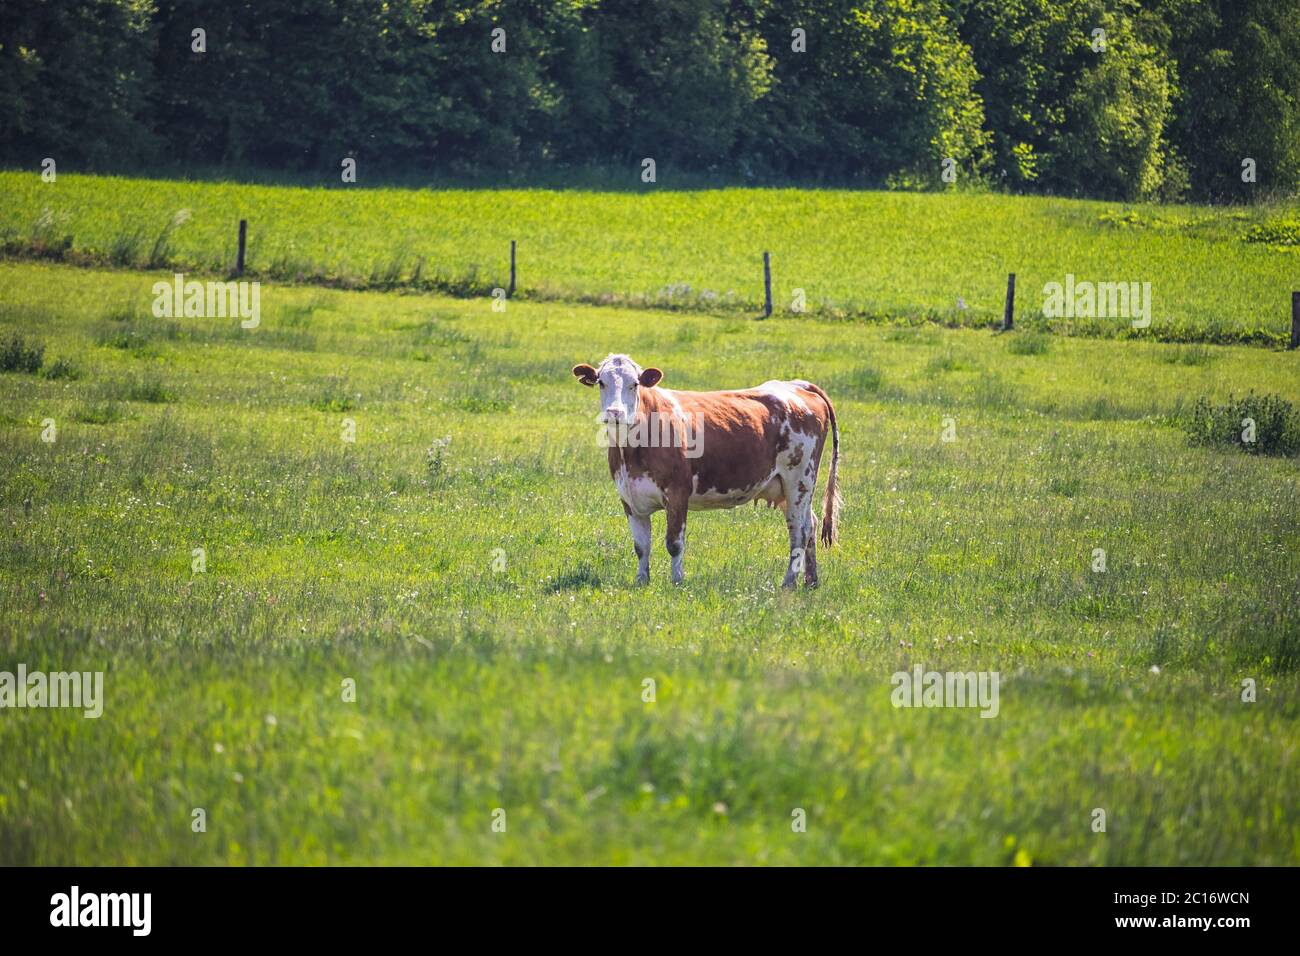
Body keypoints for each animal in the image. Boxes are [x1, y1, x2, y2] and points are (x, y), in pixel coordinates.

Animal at [572, 353, 842, 587]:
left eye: (635, 384)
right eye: (601, 382)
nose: (614, 413)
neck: (631, 451)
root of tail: (796, 385)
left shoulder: (677, 493)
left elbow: (674, 543)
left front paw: (677, 582)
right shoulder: (629, 498)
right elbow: (641, 546)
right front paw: (641, 581)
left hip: (800, 478)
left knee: (799, 531)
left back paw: (788, 583)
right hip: (785, 487)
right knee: (810, 524)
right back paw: (811, 581)